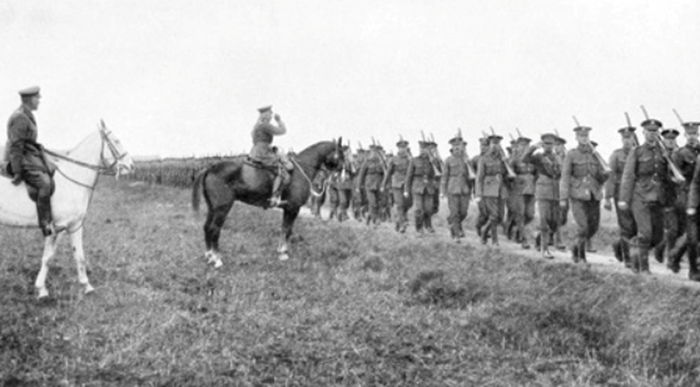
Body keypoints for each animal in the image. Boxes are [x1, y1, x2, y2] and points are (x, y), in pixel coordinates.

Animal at [0, 122, 133, 300]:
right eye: (116, 141)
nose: (131, 165)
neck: (72, 181)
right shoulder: (58, 227)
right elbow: (48, 258)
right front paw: (41, 290)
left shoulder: (75, 226)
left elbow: (79, 256)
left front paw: (86, 286)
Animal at [191, 139, 344, 266]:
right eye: (342, 155)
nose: (342, 176)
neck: (302, 169)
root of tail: (210, 168)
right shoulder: (293, 209)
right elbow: (288, 230)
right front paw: (283, 254)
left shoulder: (287, 209)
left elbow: (283, 229)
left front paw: (281, 252)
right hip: (222, 208)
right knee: (214, 229)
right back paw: (217, 259)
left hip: (212, 208)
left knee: (207, 227)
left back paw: (209, 256)